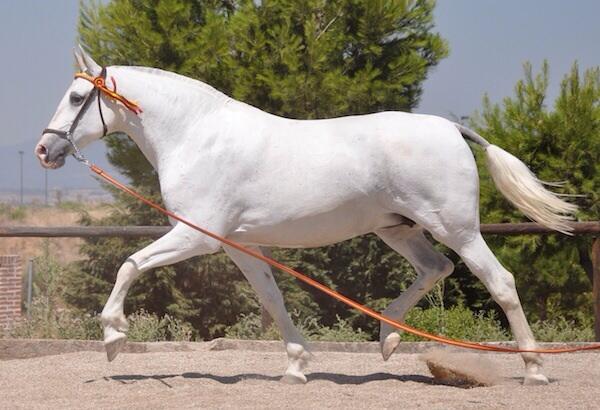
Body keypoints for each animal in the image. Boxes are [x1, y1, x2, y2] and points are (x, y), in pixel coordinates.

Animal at [37, 47, 576, 384]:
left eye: (78, 98)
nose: (45, 150)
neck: (197, 136)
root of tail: (451, 129)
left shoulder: (198, 238)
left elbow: (129, 264)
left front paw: (112, 336)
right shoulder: (241, 244)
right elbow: (272, 298)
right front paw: (296, 365)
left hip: (457, 229)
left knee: (499, 282)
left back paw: (535, 371)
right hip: (398, 230)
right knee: (435, 268)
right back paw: (388, 337)